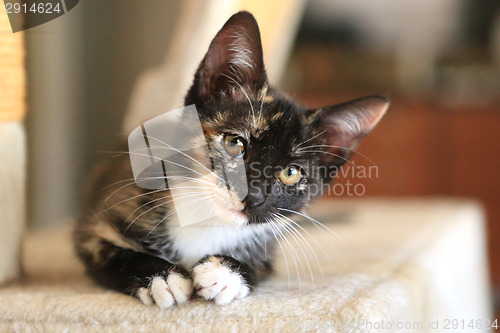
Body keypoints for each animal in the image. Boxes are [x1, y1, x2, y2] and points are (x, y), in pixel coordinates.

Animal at [74, 11, 388, 306]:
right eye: (234, 143)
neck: (208, 223)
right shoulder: (97, 226)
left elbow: (258, 267)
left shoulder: (268, 247)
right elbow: (109, 252)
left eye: (291, 173)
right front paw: (161, 277)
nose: (253, 197)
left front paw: (225, 272)